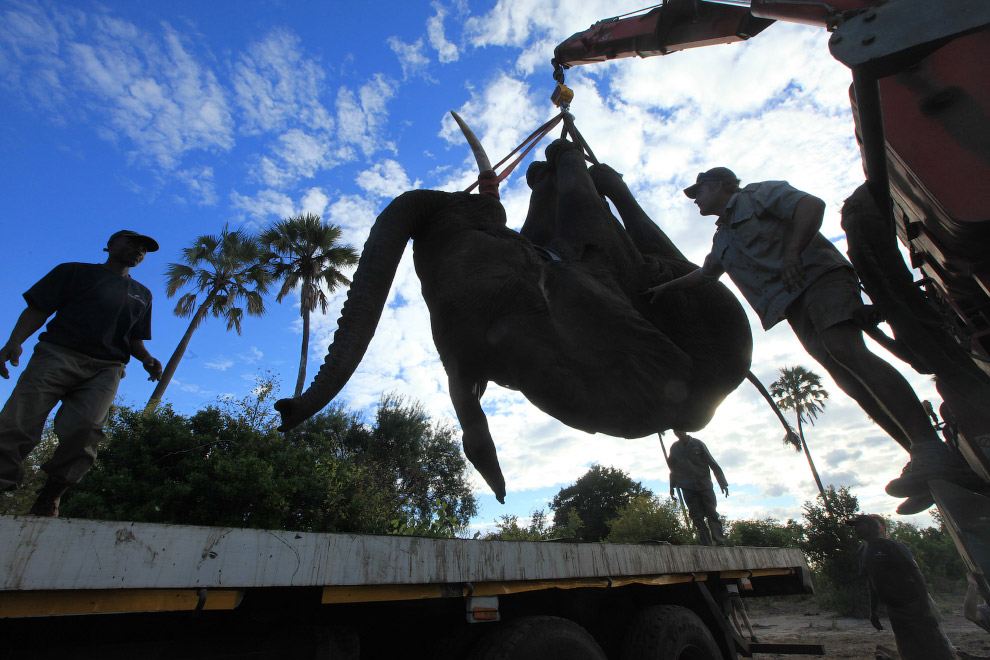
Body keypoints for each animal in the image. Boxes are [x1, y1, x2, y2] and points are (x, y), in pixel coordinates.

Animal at [276, 118, 756, 500]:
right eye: (481, 213)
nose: (283, 413)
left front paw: (546, 156)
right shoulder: (586, 272)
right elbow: (592, 231)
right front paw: (563, 155)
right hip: (707, 306)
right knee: (660, 256)